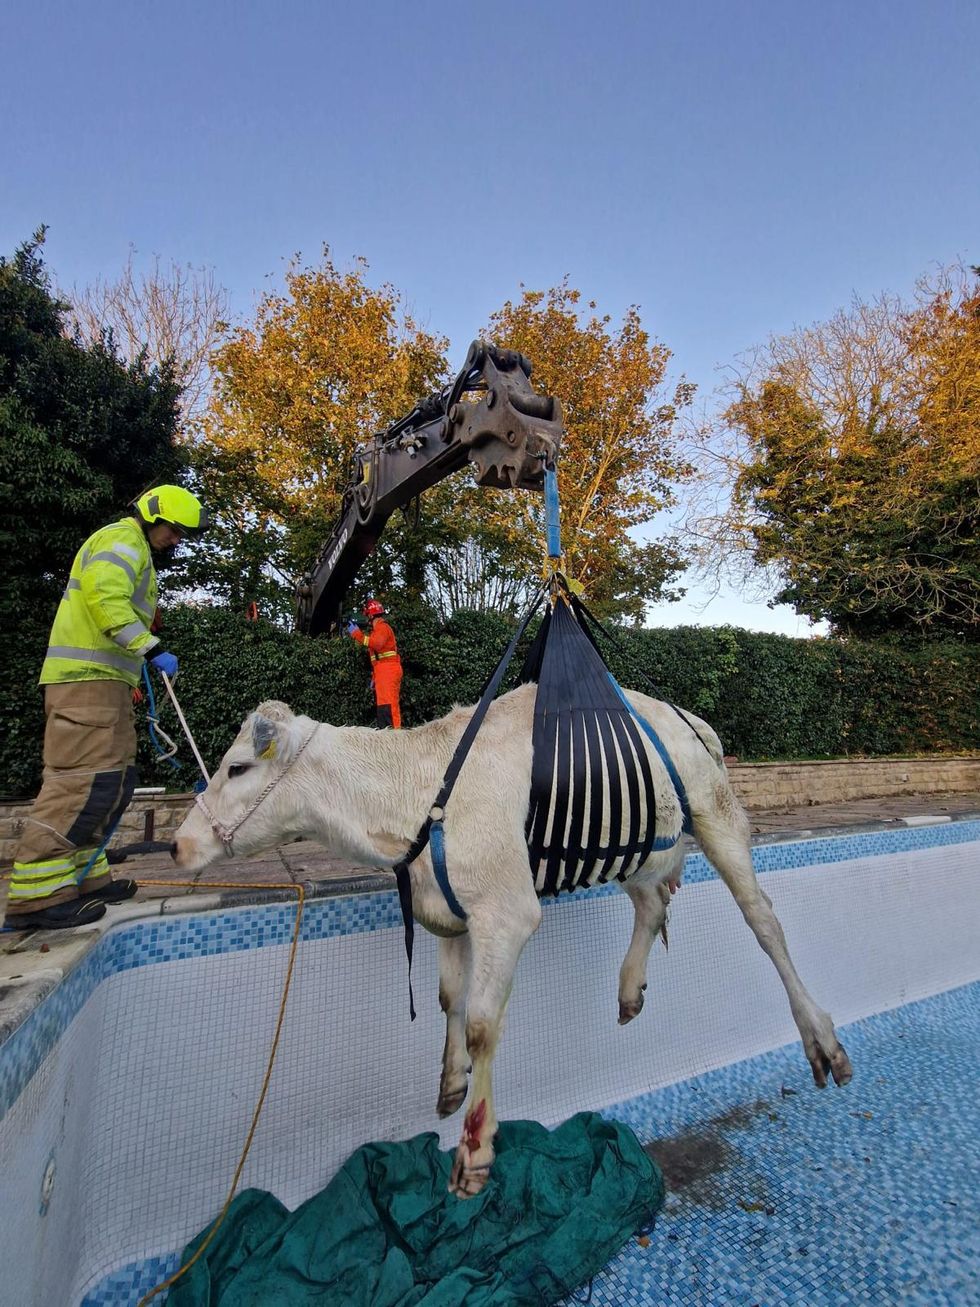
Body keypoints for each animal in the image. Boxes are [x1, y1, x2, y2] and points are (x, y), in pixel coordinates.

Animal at [175, 690, 851, 1197]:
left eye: (237, 767)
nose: (179, 845)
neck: (413, 797)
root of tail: (680, 712)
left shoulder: (507, 912)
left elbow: (481, 1023)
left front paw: (475, 1148)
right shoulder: (448, 911)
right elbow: (449, 999)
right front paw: (450, 1084)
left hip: (715, 812)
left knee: (763, 921)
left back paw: (821, 1040)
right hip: (630, 842)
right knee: (652, 903)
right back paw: (630, 989)